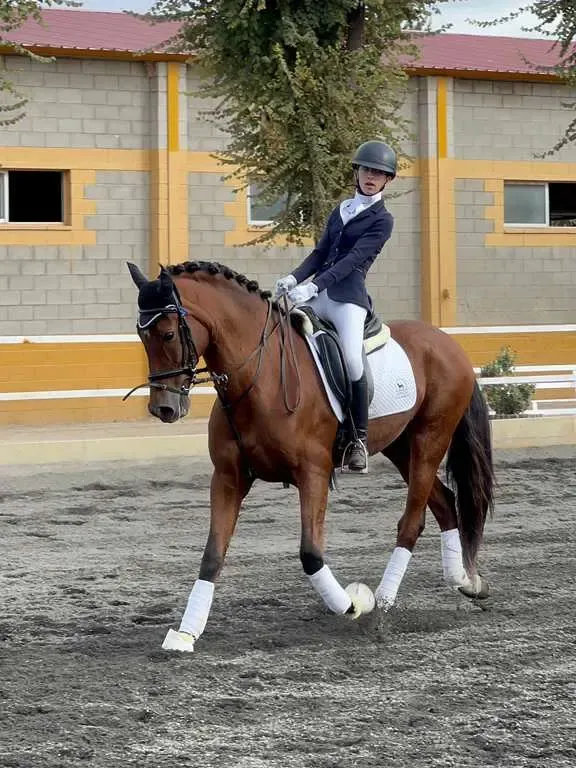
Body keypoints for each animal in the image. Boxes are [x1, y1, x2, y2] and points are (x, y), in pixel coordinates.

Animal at [125, 260, 494, 653]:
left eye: (167, 334)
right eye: (141, 334)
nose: (163, 409)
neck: (260, 376)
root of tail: (447, 342)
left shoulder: (313, 474)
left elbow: (310, 553)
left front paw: (354, 604)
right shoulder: (228, 476)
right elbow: (212, 555)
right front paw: (185, 633)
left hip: (429, 440)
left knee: (413, 521)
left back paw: (382, 604)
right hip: (400, 446)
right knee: (444, 502)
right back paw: (466, 582)